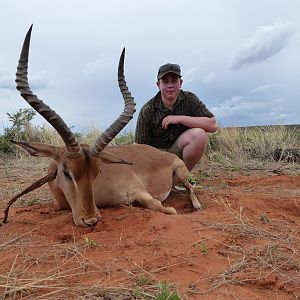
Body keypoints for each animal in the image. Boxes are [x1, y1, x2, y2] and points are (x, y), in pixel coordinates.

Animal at [5, 25, 202, 227]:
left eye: (97, 172)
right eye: (66, 173)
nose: (90, 219)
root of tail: (166, 155)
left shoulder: (139, 191)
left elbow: (160, 207)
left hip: (181, 171)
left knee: (189, 187)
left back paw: (196, 205)